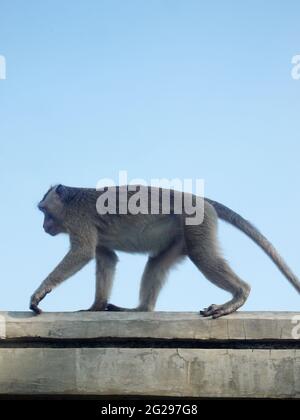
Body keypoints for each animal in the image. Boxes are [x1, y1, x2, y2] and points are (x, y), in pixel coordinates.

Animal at [30, 184, 300, 318]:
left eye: (44, 210)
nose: (43, 226)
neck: (70, 201)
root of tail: (200, 199)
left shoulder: (79, 220)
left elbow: (83, 252)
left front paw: (40, 292)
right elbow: (107, 258)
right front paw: (96, 306)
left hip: (197, 223)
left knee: (203, 256)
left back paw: (238, 295)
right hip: (179, 237)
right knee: (157, 263)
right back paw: (140, 309)